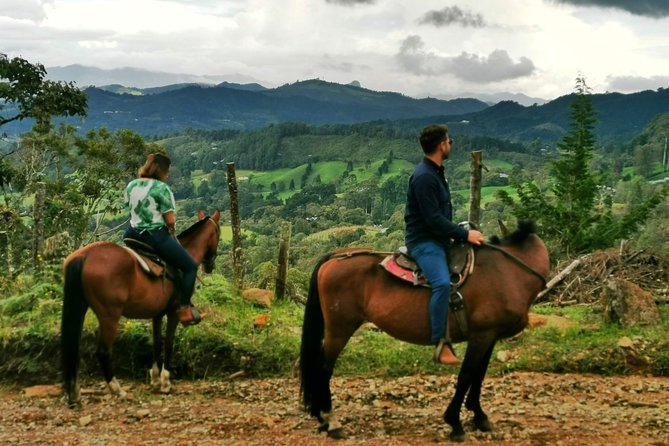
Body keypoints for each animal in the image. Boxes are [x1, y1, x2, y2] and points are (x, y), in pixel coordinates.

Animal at [61, 209, 220, 408]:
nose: (210, 265)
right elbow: (168, 343)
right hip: (109, 315)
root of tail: (84, 255)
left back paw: (74, 394)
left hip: (81, 306)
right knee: (103, 351)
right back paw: (117, 390)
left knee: (72, 348)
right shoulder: (173, 313)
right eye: (218, 234)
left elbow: (157, 342)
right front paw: (165, 382)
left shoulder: (157, 314)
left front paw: (155, 379)